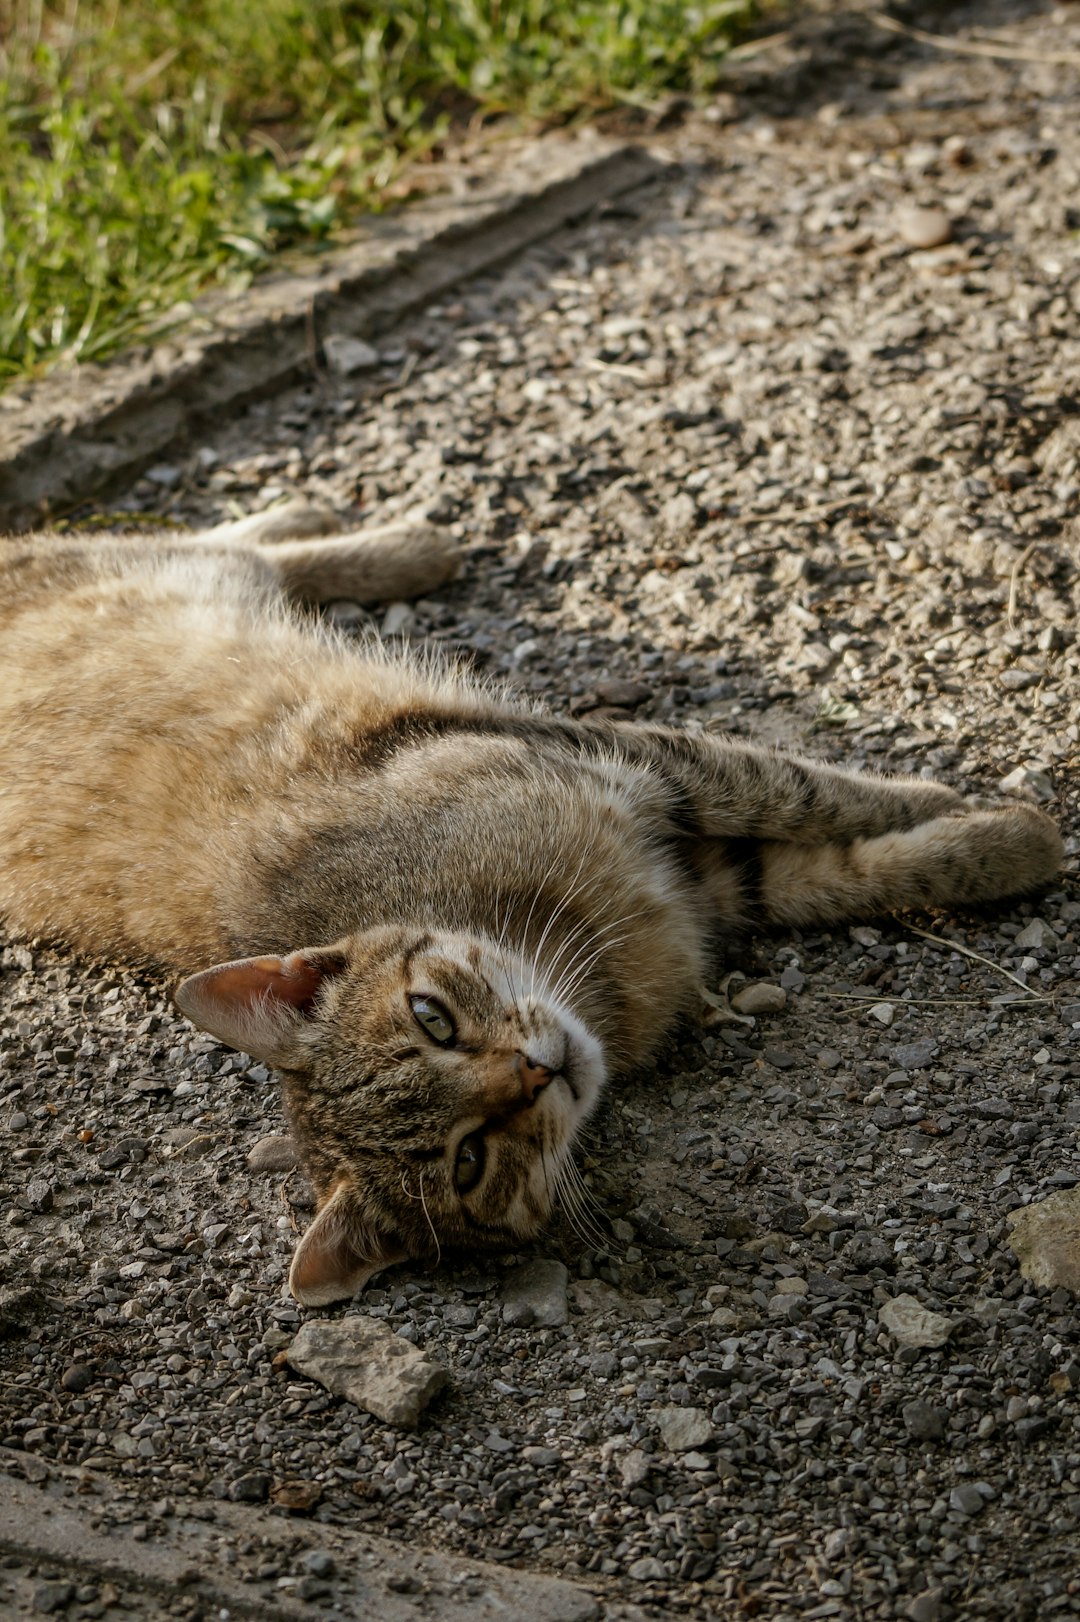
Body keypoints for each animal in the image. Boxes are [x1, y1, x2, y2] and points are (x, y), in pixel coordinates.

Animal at [0, 502, 1057, 1304]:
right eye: (468, 1161)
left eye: (431, 1017)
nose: (537, 1072)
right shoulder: (703, 879)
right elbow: (845, 865)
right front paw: (1003, 841)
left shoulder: (633, 766)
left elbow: (812, 787)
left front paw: (979, 815)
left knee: (222, 540)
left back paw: (377, 533)